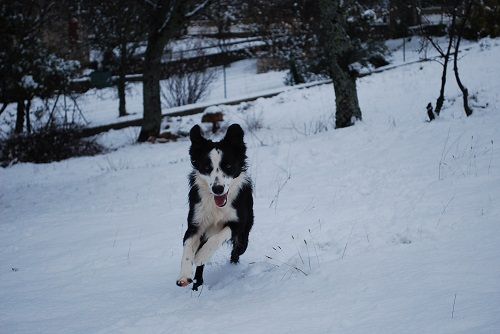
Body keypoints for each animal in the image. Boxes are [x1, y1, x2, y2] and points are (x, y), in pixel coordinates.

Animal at [177, 124, 254, 290]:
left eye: (228, 166)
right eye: (206, 167)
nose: (218, 189)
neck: (216, 205)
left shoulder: (238, 222)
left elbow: (219, 236)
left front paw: (201, 255)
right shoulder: (195, 224)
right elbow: (187, 248)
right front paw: (184, 276)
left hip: (244, 234)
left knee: (239, 248)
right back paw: (197, 284)